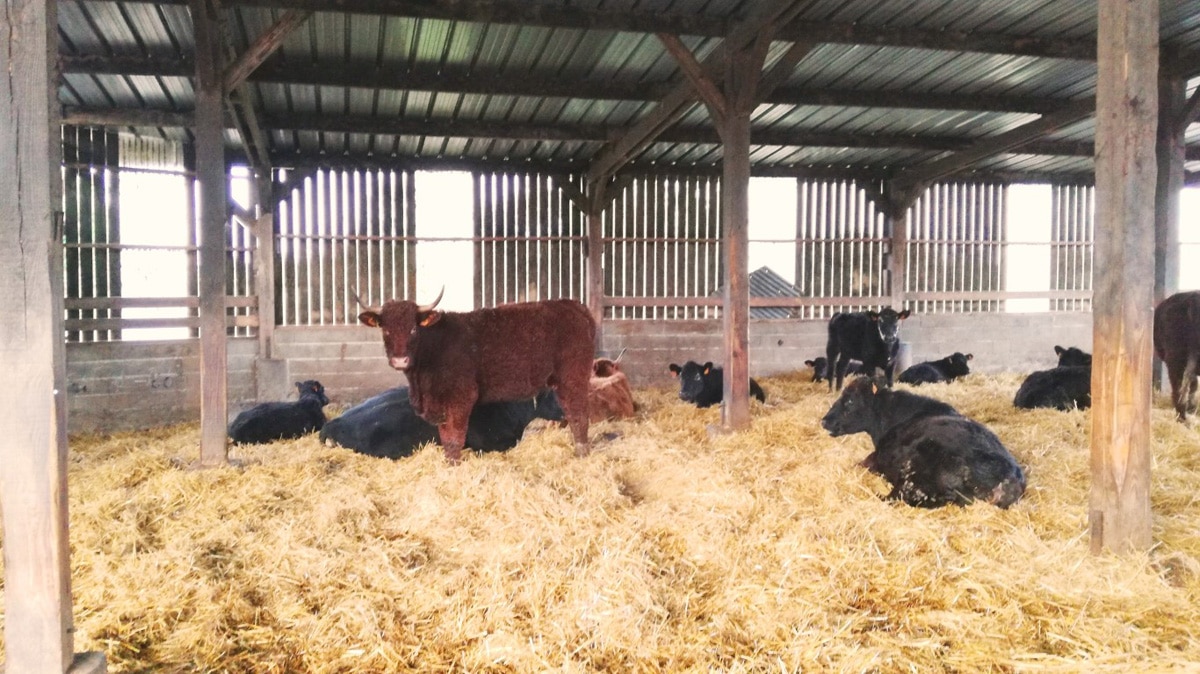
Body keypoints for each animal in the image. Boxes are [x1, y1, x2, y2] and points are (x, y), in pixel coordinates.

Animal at [358, 292, 595, 463]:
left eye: (413, 329)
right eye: (386, 330)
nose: (400, 360)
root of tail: (571, 304)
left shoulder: (462, 397)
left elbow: (455, 439)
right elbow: (445, 438)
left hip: (573, 378)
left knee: (579, 417)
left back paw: (582, 454)